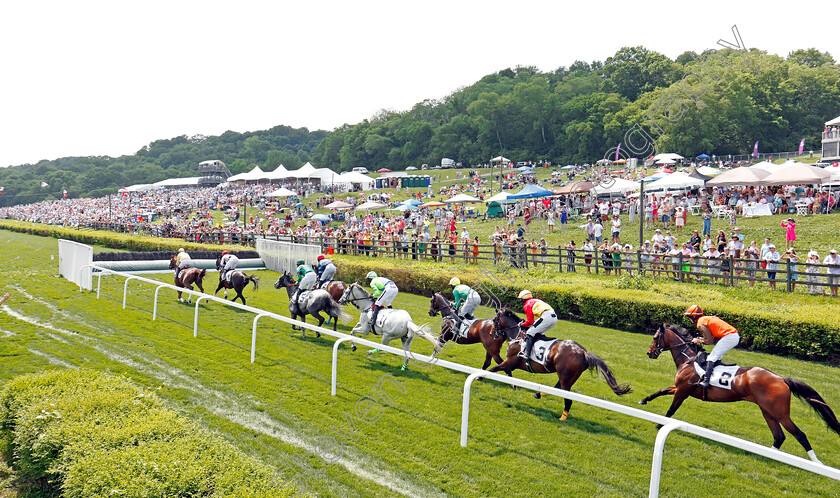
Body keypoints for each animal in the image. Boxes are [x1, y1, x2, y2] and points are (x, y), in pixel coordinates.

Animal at [488, 308, 632, 420]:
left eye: (494, 320)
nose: (491, 333)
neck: (517, 337)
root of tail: (583, 352)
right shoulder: (509, 364)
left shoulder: (509, 363)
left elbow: (493, 369)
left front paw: (483, 378)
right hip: (566, 376)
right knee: (558, 387)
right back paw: (539, 394)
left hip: (566, 377)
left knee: (567, 398)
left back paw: (562, 417)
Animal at [640, 322, 836, 462]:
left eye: (655, 337)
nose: (650, 353)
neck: (689, 360)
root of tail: (781, 379)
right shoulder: (681, 388)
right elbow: (661, 390)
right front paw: (644, 400)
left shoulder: (683, 391)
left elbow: (672, 409)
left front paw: (659, 425)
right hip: (767, 411)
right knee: (779, 437)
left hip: (780, 413)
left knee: (800, 435)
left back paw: (816, 463)